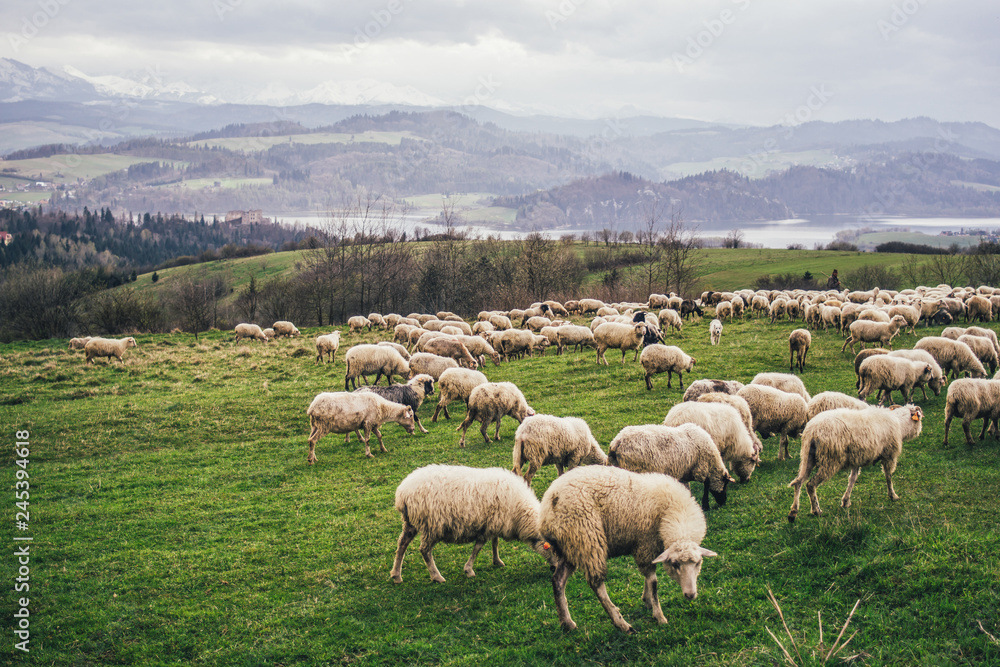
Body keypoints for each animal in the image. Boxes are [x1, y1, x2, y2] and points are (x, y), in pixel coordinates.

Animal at [390, 465, 549, 584]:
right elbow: (478, 548)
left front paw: (497, 561)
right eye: (550, 547)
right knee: (424, 550)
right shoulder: (488, 527)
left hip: (410, 522)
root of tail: (402, 493)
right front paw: (469, 570)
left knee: (402, 543)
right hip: (432, 525)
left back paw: (396, 575)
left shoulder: (494, 523)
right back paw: (437, 576)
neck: (520, 513)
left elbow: (495, 543)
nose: (552, 569)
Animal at [540, 465, 717, 634]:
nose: (690, 595)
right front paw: (658, 615)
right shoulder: (645, 545)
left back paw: (567, 622)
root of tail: (548, 505)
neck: (674, 513)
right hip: (587, 538)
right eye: (675, 564)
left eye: (698, 563)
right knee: (597, 584)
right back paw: (622, 624)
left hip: (570, 546)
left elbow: (648, 577)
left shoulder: (648, 548)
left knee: (558, 580)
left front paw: (647, 601)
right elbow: (653, 582)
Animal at [787, 404, 924, 521]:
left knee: (798, 482)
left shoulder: (857, 459)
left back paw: (793, 512)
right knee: (811, 484)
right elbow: (888, 476)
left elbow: (852, 479)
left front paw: (846, 501)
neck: (900, 424)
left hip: (807, 456)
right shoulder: (889, 455)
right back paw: (816, 510)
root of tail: (812, 431)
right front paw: (893, 495)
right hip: (830, 460)